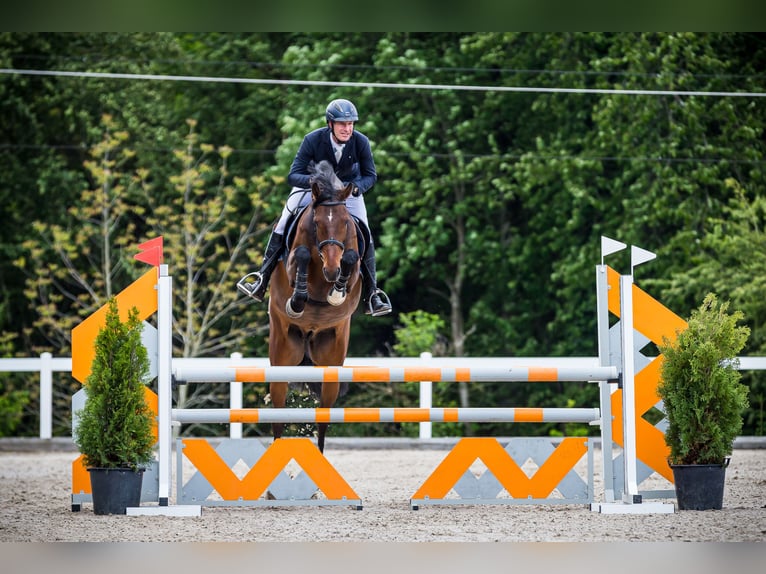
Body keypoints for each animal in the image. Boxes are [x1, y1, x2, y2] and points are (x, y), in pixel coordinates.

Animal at [268, 161, 364, 454]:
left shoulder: (353, 266)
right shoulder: (290, 263)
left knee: (323, 417)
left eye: (345, 223)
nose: (331, 270)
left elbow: (351, 257)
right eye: (317, 223)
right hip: (281, 357)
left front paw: (336, 293)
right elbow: (299, 256)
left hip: (331, 361)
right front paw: (298, 301)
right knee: (277, 414)